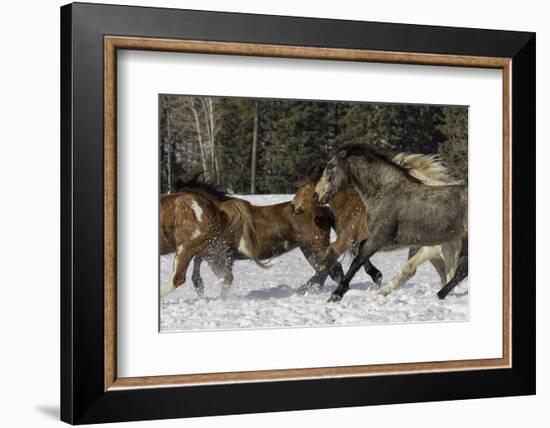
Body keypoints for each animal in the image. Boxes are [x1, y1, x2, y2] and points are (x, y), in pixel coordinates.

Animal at [157, 176, 344, 300]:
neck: (221, 215)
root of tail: (324, 210)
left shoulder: (217, 252)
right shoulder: (214, 251)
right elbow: (201, 264)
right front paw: (199, 286)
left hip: (313, 247)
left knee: (330, 268)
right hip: (309, 249)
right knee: (327, 269)